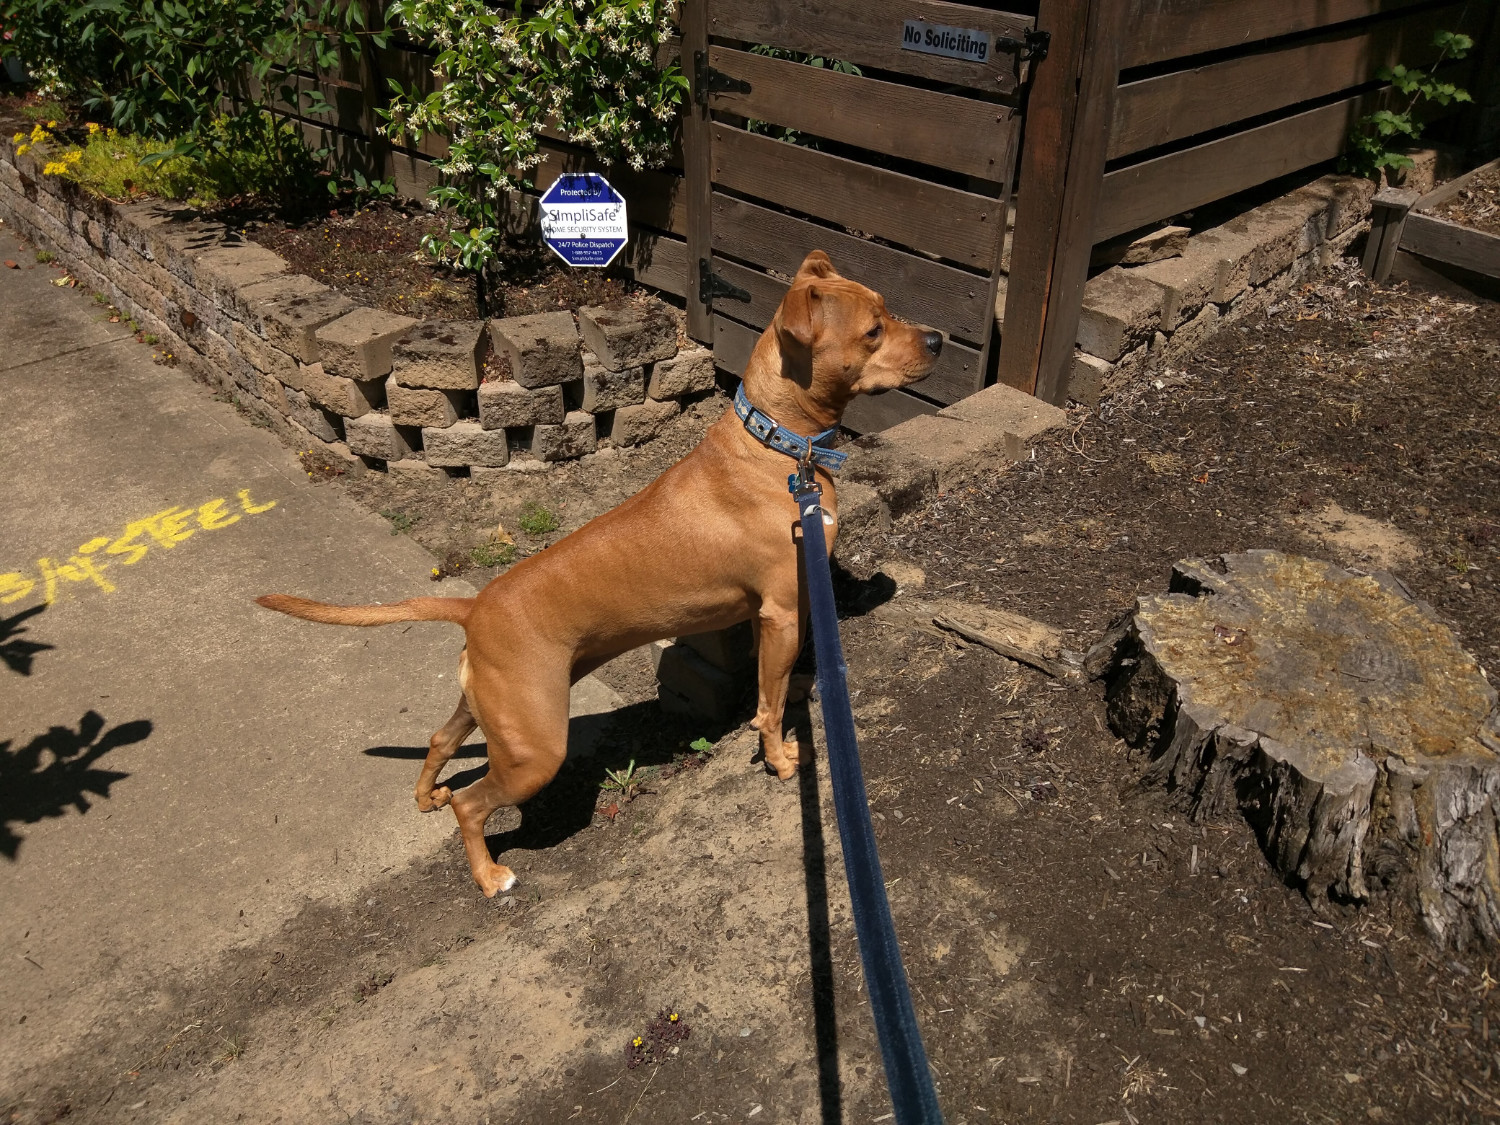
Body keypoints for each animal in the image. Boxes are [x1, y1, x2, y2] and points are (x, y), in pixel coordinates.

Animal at [256, 250, 936, 894]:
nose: (937, 340)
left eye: (888, 309)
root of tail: (476, 605)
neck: (779, 448)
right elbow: (766, 706)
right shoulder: (783, 609)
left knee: (440, 742)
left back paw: (427, 796)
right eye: (874, 330)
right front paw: (782, 760)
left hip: (490, 713)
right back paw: (489, 876)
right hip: (536, 750)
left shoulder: (773, 614)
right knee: (471, 806)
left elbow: (776, 681)